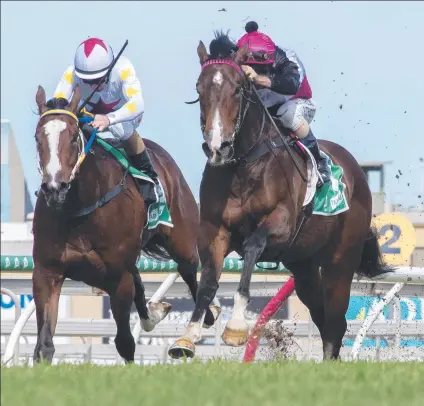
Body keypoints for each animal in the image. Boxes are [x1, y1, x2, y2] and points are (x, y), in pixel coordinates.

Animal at [32, 85, 219, 364]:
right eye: (38, 138)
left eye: (74, 137)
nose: (55, 188)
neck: (80, 211)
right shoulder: (47, 272)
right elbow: (44, 346)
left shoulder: (117, 277)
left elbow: (124, 342)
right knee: (141, 283)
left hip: (182, 240)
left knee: (190, 273)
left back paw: (204, 319)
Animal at [169, 33, 390, 360]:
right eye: (200, 88)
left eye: (238, 88)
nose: (218, 148)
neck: (244, 165)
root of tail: (357, 174)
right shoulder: (214, 229)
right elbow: (208, 281)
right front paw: (188, 336)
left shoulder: (282, 224)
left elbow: (252, 247)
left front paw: (236, 325)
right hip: (304, 266)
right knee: (323, 319)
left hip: (340, 262)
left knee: (336, 322)